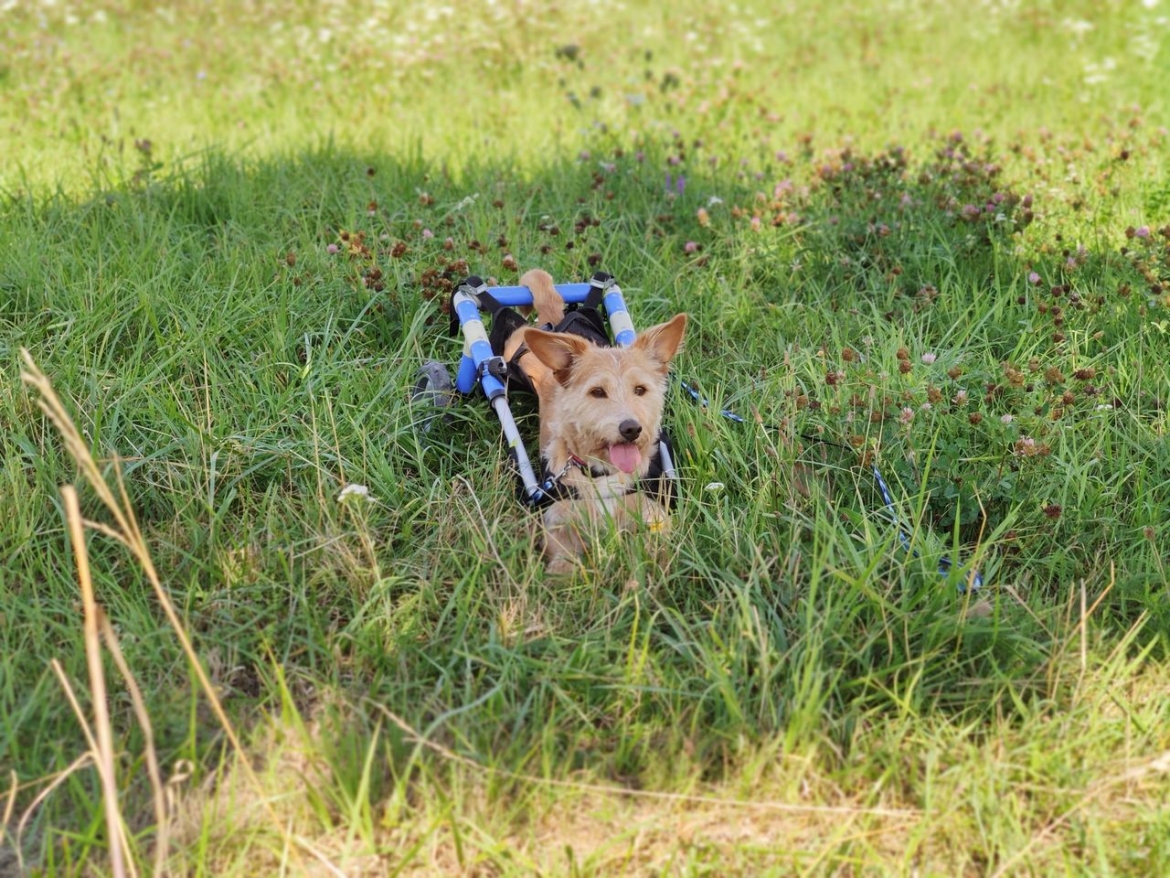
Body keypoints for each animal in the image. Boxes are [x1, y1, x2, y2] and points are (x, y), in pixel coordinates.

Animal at [503, 268, 683, 578]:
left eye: (640, 390)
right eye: (597, 392)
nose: (631, 428)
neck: (604, 474)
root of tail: (555, 322)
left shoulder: (656, 517)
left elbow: (654, 554)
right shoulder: (556, 522)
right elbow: (564, 565)